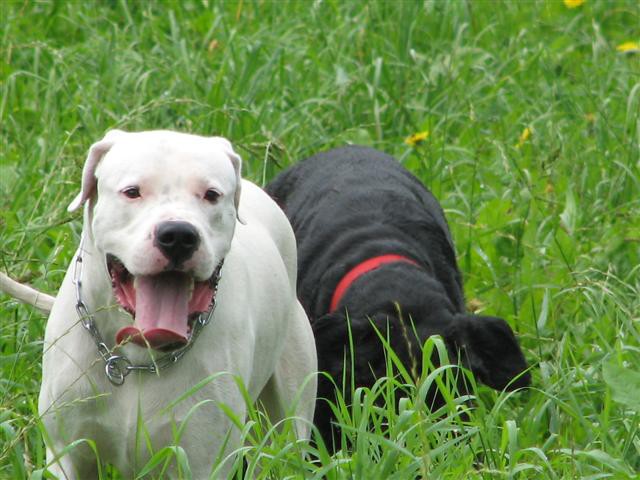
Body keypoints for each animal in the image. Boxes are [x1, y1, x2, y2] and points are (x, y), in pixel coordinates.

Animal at [1, 129, 318, 478]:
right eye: (132, 192)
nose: (178, 235)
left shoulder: (203, 461)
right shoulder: (67, 453)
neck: (137, 358)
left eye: (211, 195)